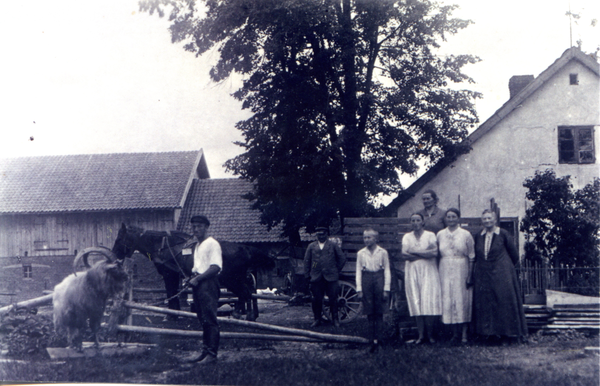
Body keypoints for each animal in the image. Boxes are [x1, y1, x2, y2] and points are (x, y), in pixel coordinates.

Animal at [111, 223, 274, 320]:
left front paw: (171, 315)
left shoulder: (169, 274)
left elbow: (171, 292)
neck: (162, 246)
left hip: (232, 279)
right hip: (238, 278)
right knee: (248, 292)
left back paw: (239, 313)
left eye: (119, 239)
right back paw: (249, 315)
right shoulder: (175, 275)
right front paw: (175, 313)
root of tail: (244, 248)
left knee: (244, 293)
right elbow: (173, 292)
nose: (114, 255)